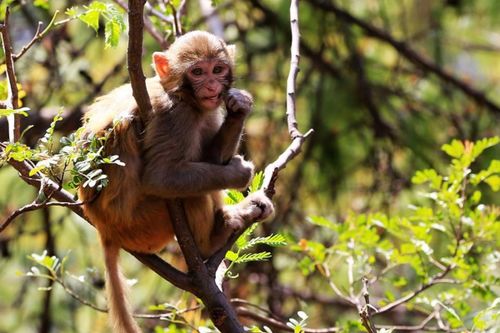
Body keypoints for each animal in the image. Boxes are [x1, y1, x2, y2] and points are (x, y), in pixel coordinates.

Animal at [77, 31, 274, 332]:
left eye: (218, 69)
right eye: (197, 72)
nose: (212, 85)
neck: (183, 95)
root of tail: (104, 227)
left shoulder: (205, 110)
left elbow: (211, 157)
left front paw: (239, 108)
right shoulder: (174, 116)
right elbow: (160, 178)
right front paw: (239, 174)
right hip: (146, 225)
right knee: (189, 193)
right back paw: (211, 242)